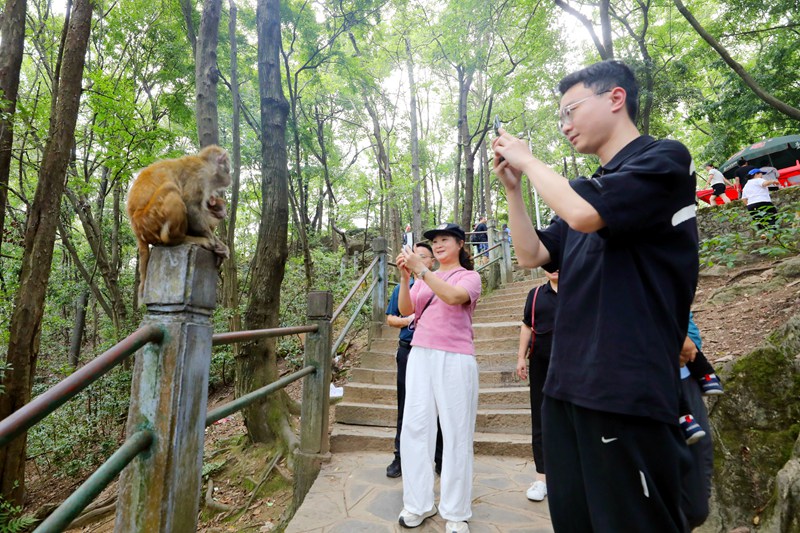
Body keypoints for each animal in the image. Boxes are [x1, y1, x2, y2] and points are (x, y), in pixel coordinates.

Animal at [126, 143, 231, 298]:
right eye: (228, 166)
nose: (230, 177)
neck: (205, 163)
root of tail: (136, 229)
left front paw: (221, 247)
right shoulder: (200, 175)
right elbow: (190, 204)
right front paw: (213, 242)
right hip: (150, 218)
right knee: (171, 187)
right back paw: (180, 239)